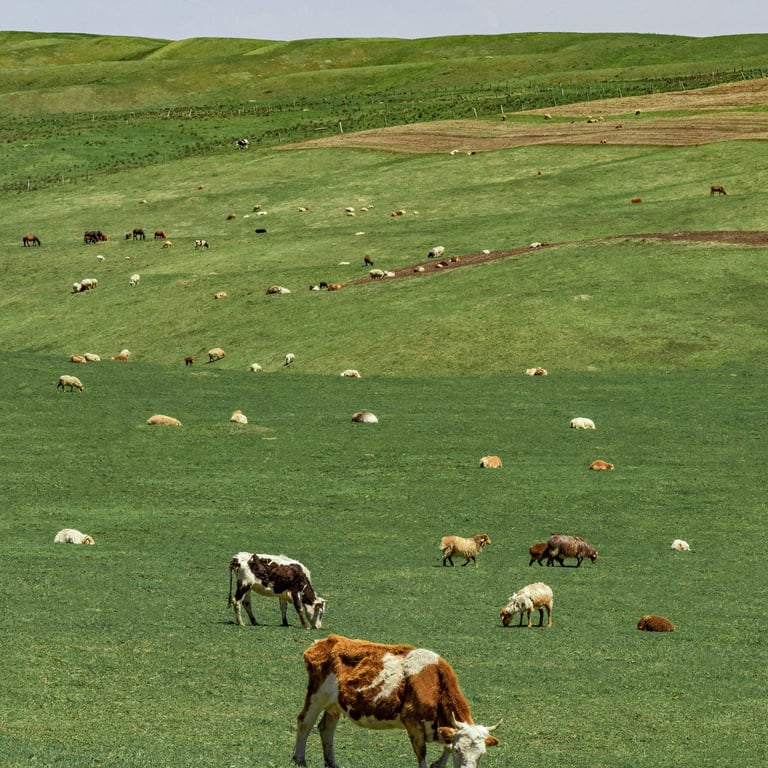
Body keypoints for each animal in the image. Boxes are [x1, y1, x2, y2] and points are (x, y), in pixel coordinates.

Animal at [293, 634, 501, 768]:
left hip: (334, 705)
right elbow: (423, 755)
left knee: (326, 729)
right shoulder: (413, 723)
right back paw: (299, 759)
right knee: (304, 722)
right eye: (459, 750)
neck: (435, 683)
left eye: (481, 754)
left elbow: (445, 748)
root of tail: (325, 641)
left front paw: (438, 763)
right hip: (316, 695)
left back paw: (332, 763)